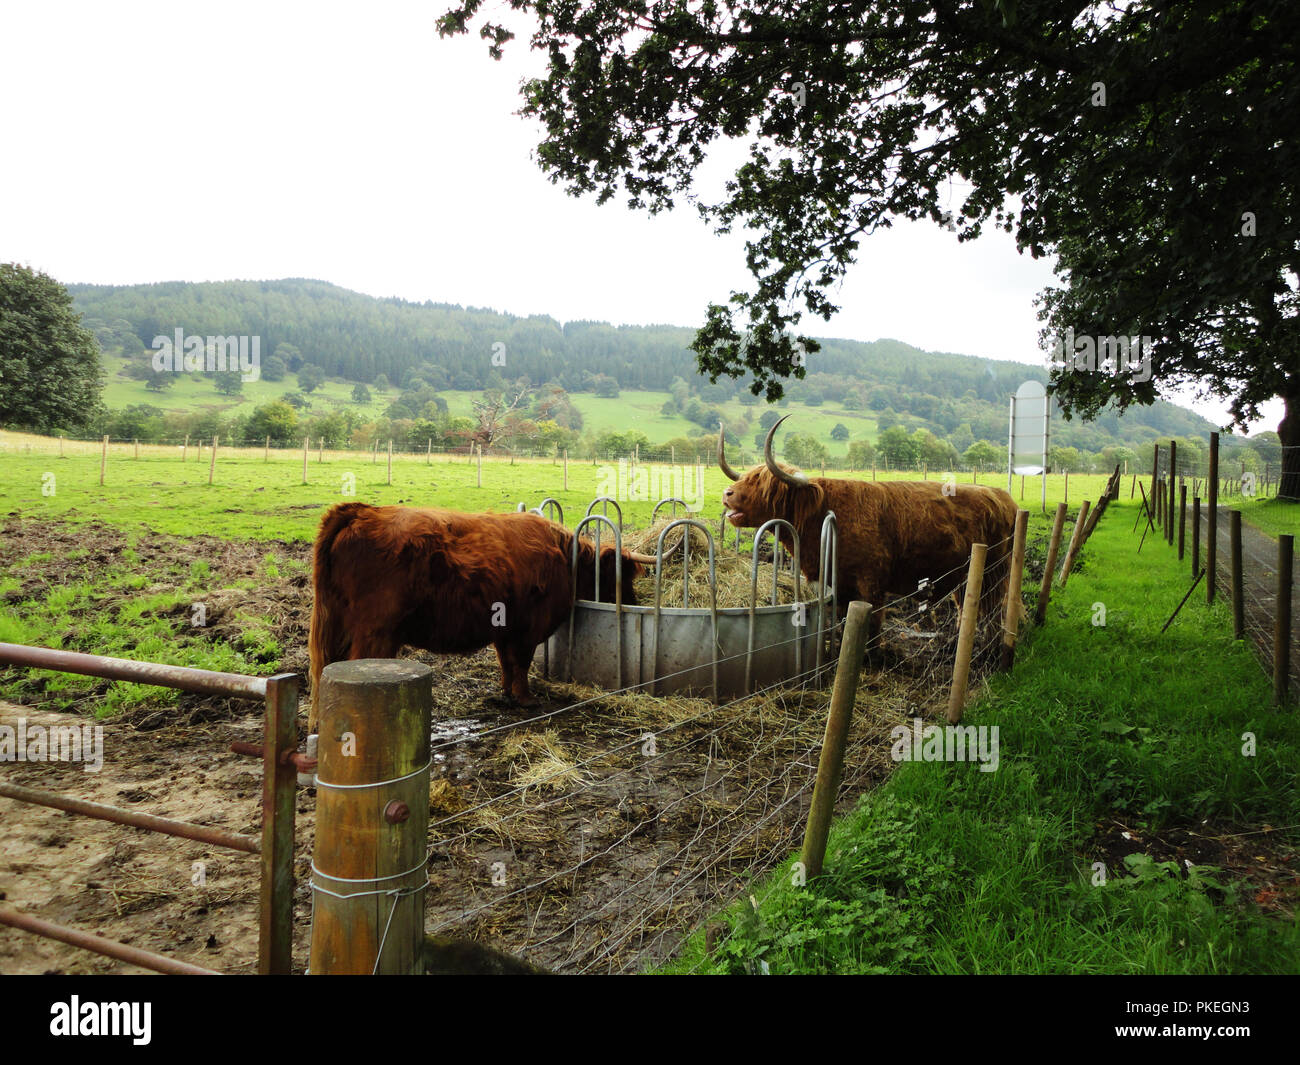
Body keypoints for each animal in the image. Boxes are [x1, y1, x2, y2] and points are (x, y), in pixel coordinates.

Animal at [305, 504, 650, 728]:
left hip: (338, 625)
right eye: (620, 578)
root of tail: (362, 510)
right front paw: (526, 699)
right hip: (375, 633)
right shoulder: (529, 627)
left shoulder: (505, 626)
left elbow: (507, 662)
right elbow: (521, 662)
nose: (634, 601)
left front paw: (506, 693)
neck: (565, 558)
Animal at [717, 418, 1019, 642]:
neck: (823, 514)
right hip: (964, 576)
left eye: (765, 486)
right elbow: (840, 620)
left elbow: (871, 625)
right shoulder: (837, 582)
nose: (727, 493)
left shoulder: (871, 582)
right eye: (746, 478)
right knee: (966, 605)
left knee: (993, 610)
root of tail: (1005, 499)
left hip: (994, 574)